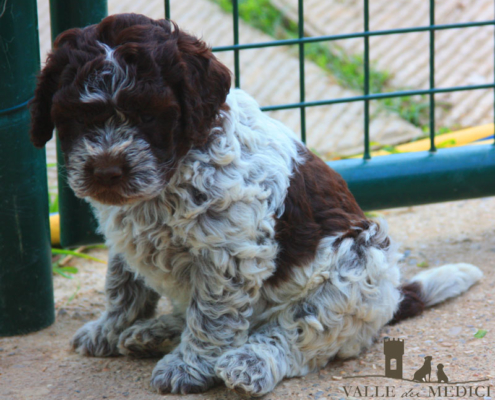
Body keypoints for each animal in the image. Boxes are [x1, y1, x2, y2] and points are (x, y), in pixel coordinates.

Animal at [28, 13, 484, 396]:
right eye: (77, 118)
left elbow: (212, 318)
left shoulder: (227, 255)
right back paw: (152, 333)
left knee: (298, 336)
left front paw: (189, 368)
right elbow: (123, 287)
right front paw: (108, 329)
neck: (171, 176)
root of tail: (391, 302)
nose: (106, 171)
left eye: (149, 116)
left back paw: (249, 362)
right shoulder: (126, 236)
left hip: (351, 272)